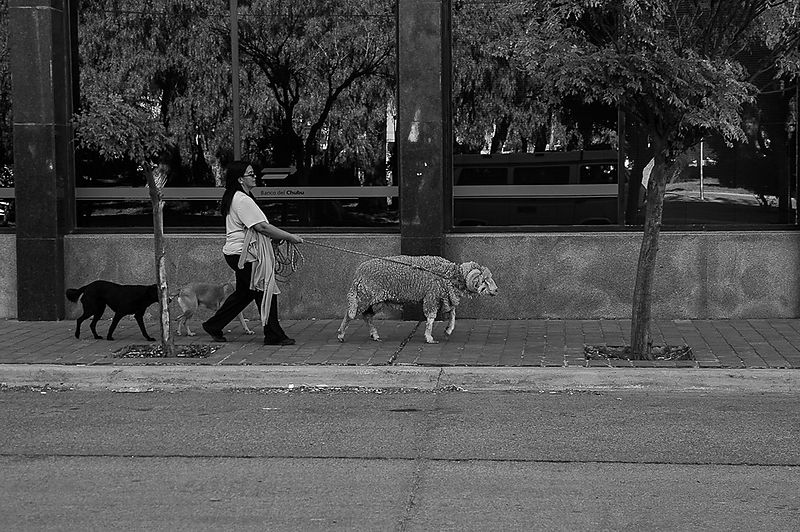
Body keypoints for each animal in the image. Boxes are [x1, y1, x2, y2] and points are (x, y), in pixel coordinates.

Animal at [337, 255, 498, 344]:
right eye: (484, 280)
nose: (496, 290)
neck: (448, 275)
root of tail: (358, 273)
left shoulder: (443, 296)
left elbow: (452, 314)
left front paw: (448, 330)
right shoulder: (432, 296)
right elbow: (431, 318)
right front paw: (429, 337)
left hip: (375, 301)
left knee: (367, 316)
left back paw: (375, 335)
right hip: (364, 297)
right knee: (350, 314)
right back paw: (341, 335)